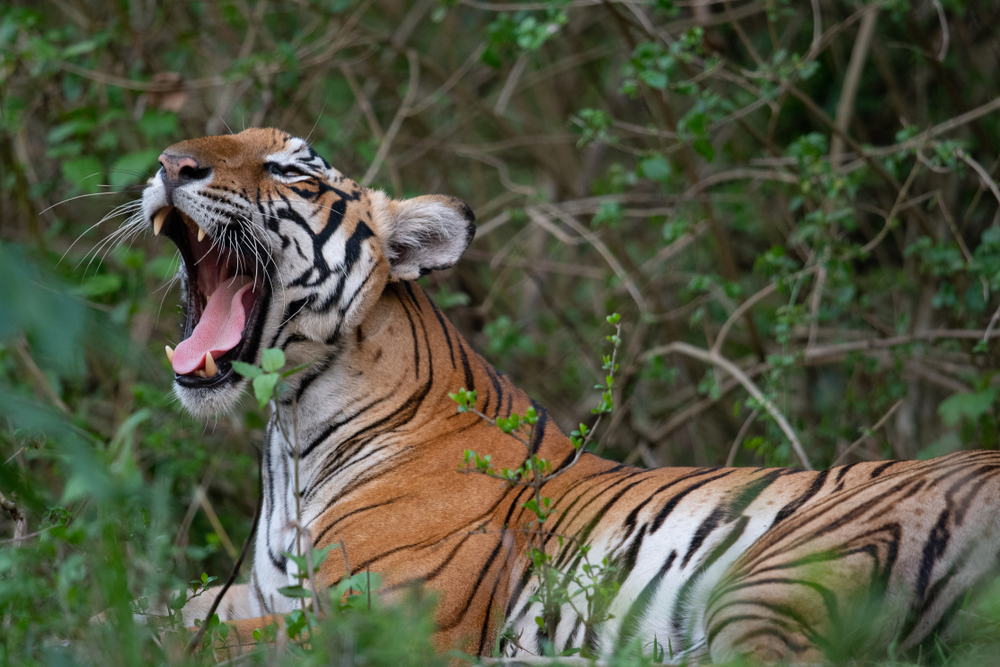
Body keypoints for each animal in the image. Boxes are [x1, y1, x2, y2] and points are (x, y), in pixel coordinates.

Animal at [131, 128, 1000, 664]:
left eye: (292, 172)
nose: (170, 164)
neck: (294, 427)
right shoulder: (254, 590)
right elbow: (159, 605)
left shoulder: (372, 617)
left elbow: (184, 641)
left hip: (773, 581)